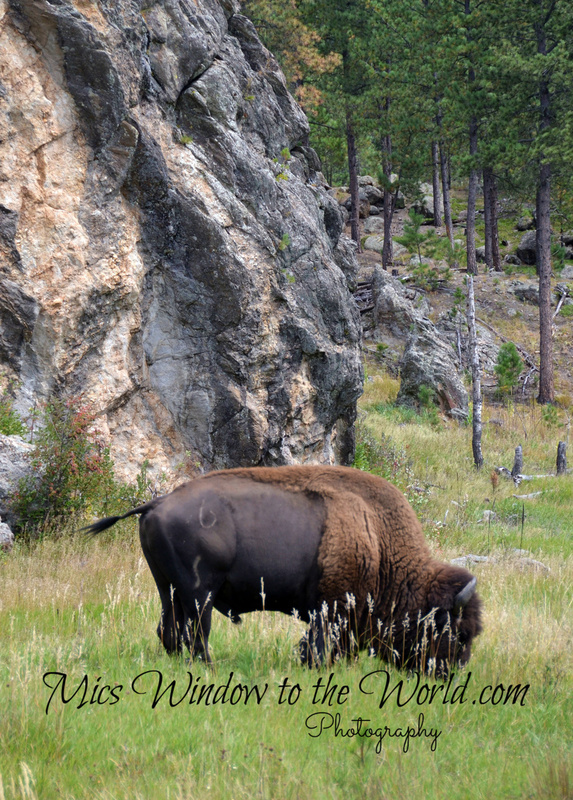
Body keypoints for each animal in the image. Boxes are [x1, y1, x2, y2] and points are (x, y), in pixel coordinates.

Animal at [86, 465, 482, 674]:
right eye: (458, 633)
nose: (451, 673)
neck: (380, 542)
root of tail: (156, 503)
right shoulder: (332, 609)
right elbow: (318, 644)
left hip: (167, 589)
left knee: (170, 631)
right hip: (200, 594)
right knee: (196, 633)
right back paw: (211, 669)